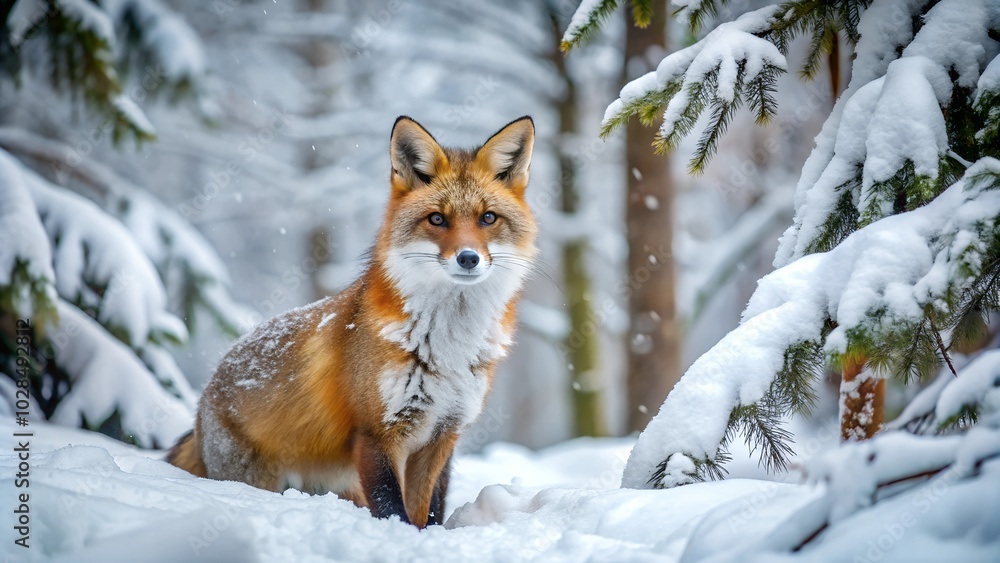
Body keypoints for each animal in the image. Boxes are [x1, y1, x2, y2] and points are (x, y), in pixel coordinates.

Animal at [167, 115, 538, 528]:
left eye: (488, 218)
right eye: (437, 219)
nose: (469, 258)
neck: (447, 347)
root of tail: (205, 395)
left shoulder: (443, 432)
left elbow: (428, 509)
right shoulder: (376, 432)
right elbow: (394, 509)